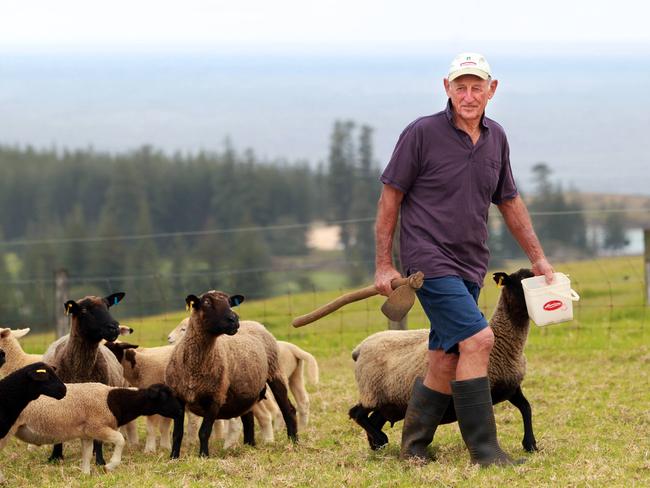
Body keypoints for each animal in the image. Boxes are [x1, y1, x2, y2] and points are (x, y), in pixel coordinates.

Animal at [0, 382, 182, 476]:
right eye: (166, 396)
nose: (181, 410)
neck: (115, 401)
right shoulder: (97, 427)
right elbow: (120, 440)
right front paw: (110, 466)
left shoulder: (86, 433)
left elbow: (87, 455)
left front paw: (85, 475)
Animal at [165, 292, 296, 460]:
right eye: (206, 302)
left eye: (229, 302)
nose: (234, 319)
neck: (194, 367)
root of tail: (257, 324)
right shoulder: (178, 398)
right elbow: (177, 433)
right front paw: (174, 457)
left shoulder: (215, 397)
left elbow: (204, 432)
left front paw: (204, 456)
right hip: (247, 391)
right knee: (248, 419)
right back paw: (249, 446)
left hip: (275, 372)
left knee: (288, 410)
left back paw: (293, 442)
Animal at [350, 268, 536, 452]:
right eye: (519, 283)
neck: (502, 344)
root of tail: (359, 348)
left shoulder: (511, 388)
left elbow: (526, 408)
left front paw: (530, 444)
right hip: (372, 391)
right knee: (356, 413)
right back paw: (381, 439)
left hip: (390, 401)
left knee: (374, 419)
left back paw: (378, 445)